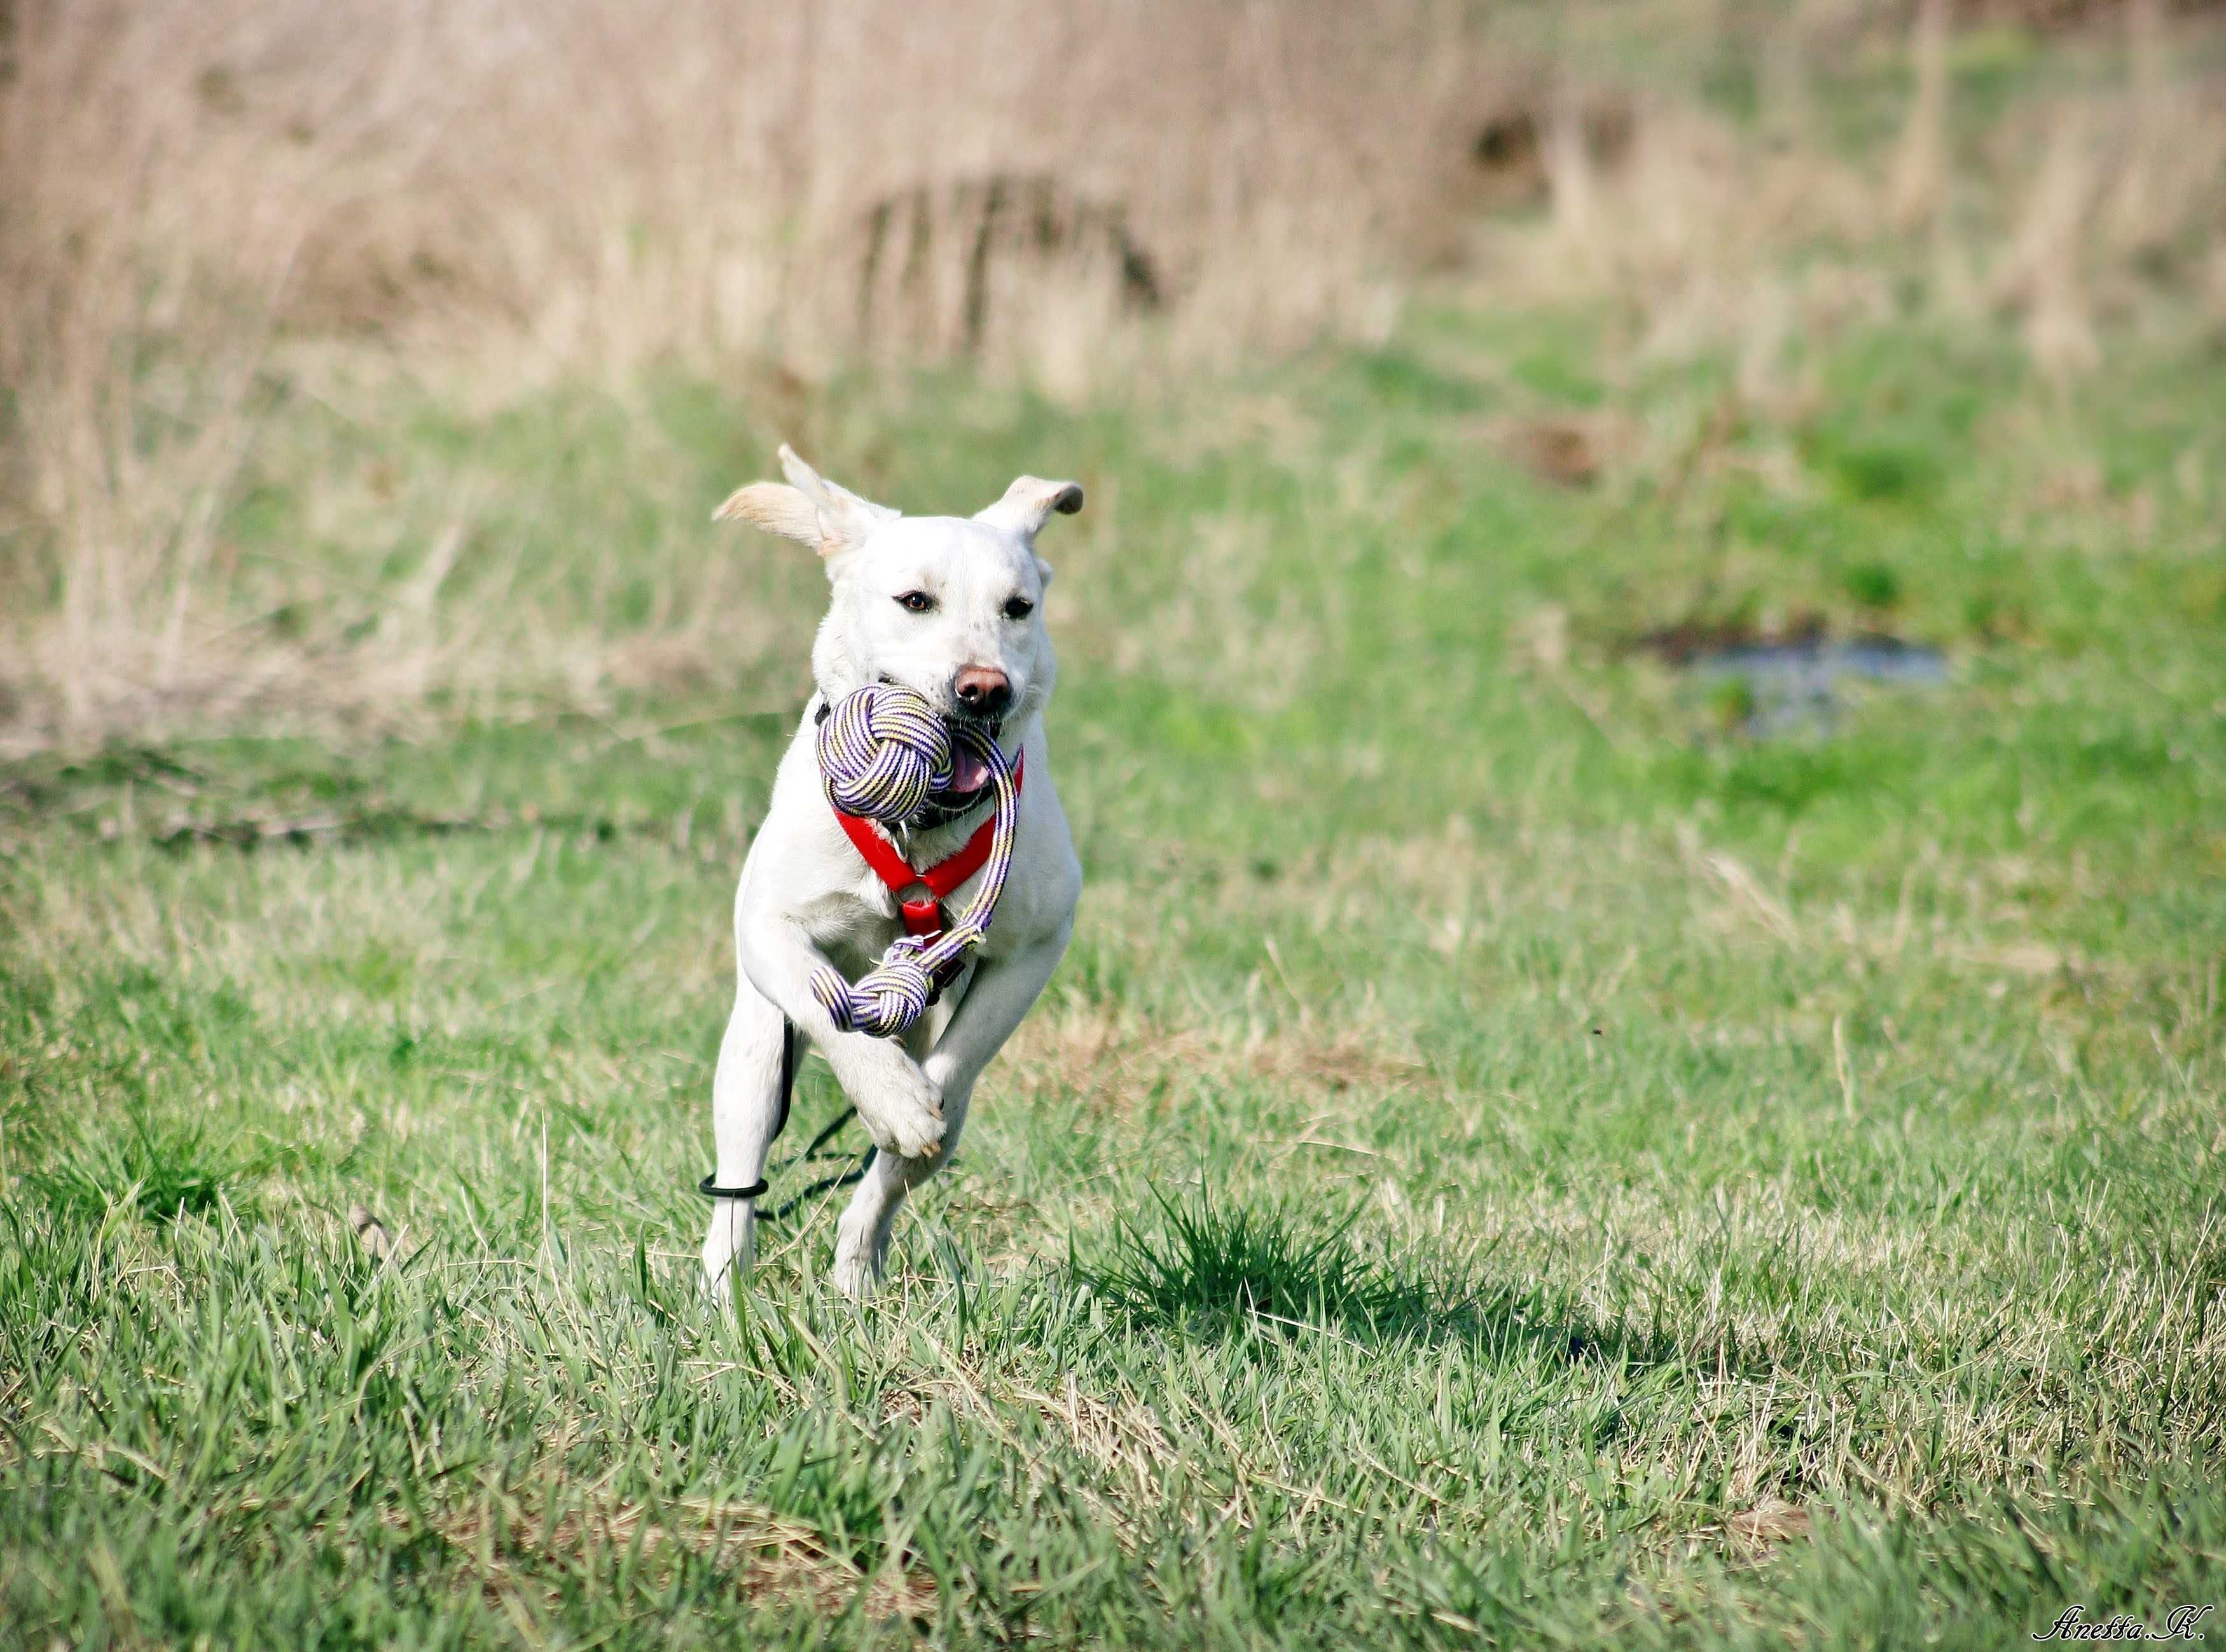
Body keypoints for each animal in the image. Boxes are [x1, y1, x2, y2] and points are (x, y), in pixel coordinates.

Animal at [695, 447, 1077, 1300]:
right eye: (915, 601)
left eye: (1017, 607)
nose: (984, 687)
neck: (919, 825)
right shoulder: (767, 928)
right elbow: (824, 1006)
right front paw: (890, 1095)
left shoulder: (1034, 947)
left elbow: (951, 1073)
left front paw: (909, 1107)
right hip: (750, 1056)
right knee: (740, 1172)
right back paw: (723, 1287)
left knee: (889, 1181)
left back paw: (853, 1279)